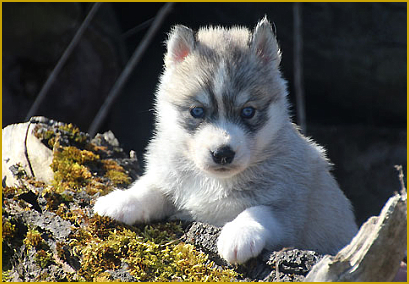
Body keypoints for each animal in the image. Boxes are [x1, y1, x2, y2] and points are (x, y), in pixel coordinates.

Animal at [93, 18, 356, 264]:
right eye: (197, 111)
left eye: (248, 112)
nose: (222, 153)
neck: (216, 182)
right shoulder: (171, 177)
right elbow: (152, 188)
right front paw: (122, 200)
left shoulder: (289, 211)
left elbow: (258, 210)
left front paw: (239, 234)